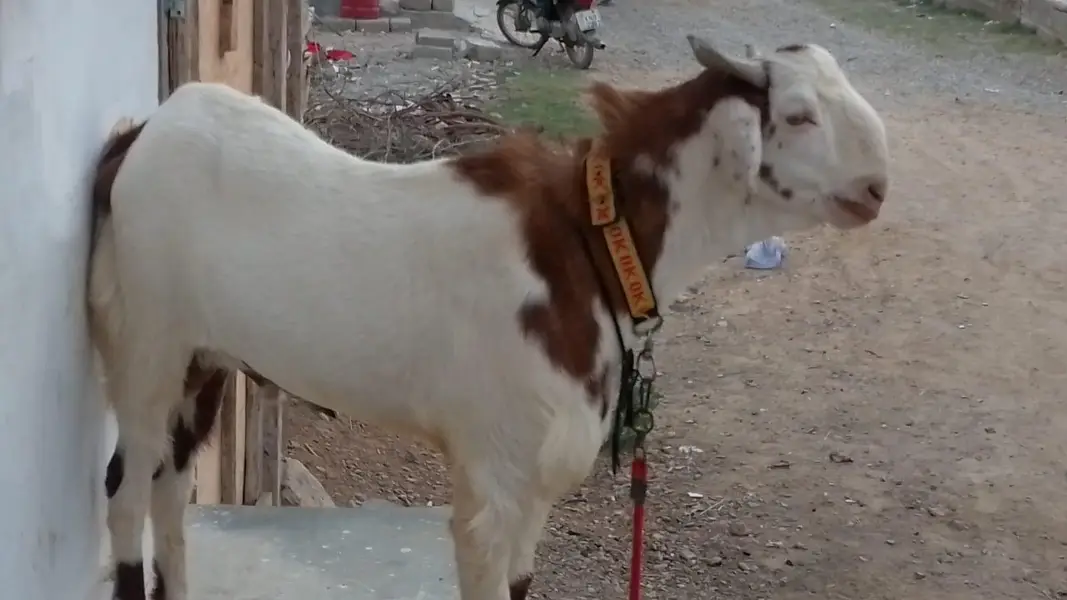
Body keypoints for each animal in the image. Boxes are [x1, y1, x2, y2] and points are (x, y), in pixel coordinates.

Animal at [89, 34, 889, 600]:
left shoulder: (535, 480)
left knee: (171, 487)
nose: (876, 188)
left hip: (204, 357)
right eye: (798, 115)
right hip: (146, 338)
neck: (587, 245)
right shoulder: (493, 473)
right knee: (125, 490)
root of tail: (142, 134)